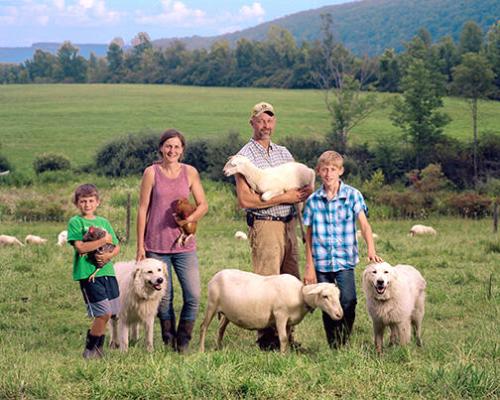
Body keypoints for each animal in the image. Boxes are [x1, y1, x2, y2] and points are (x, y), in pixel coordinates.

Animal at [199, 268, 344, 354]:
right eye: (325, 296)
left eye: (338, 295)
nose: (339, 314)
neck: (299, 294)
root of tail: (216, 275)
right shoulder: (280, 315)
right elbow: (283, 338)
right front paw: (282, 356)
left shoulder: (288, 321)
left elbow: (288, 338)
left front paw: (287, 354)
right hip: (211, 304)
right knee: (203, 326)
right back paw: (201, 350)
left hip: (227, 313)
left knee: (220, 329)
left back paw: (218, 348)